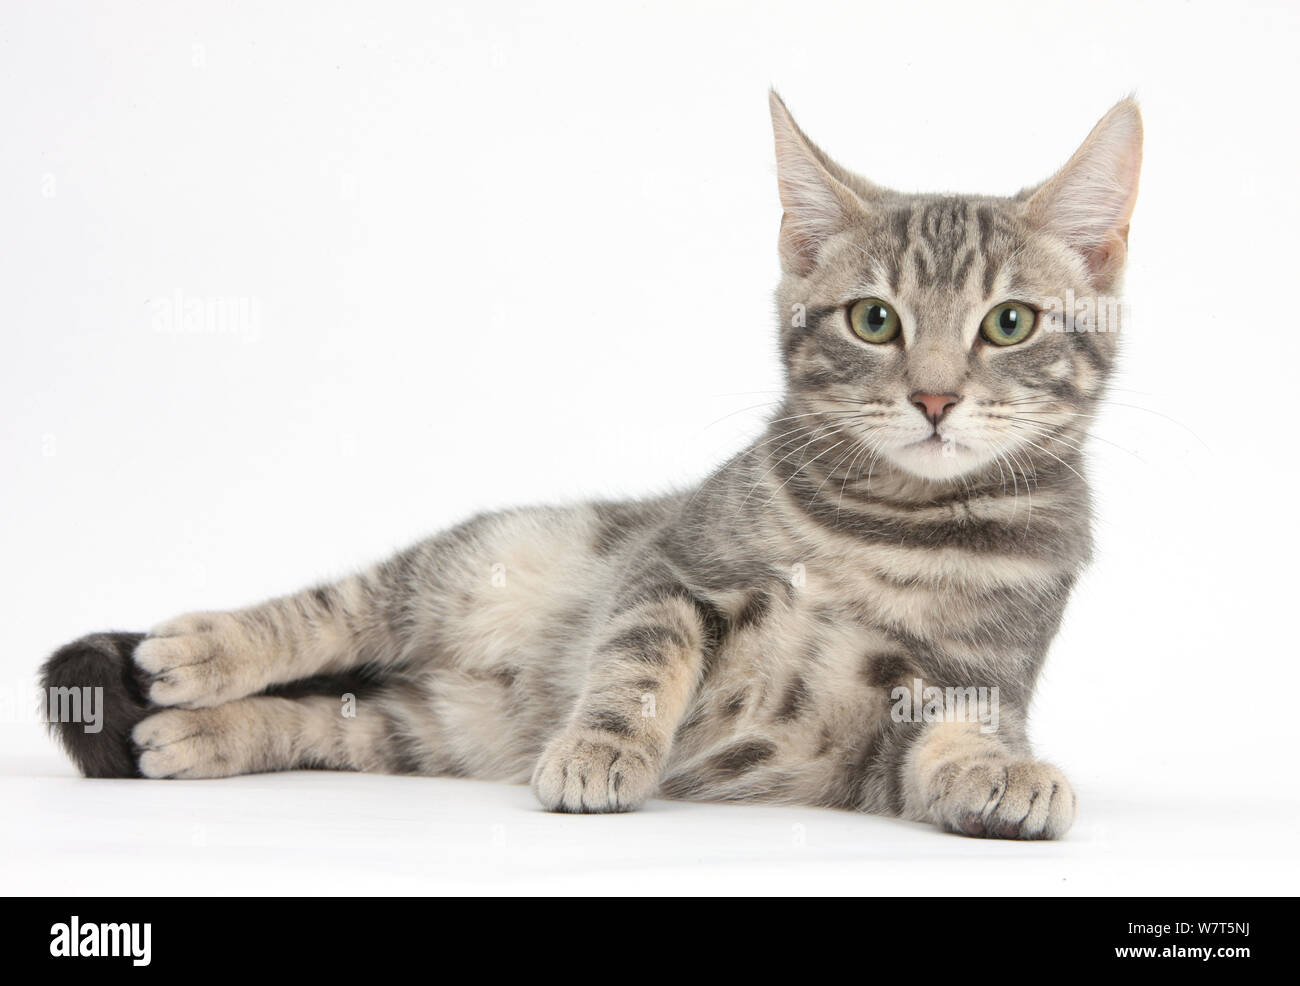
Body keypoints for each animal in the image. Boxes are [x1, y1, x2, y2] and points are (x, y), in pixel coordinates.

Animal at [40, 94, 1138, 842]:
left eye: (1009, 323)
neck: (892, 523)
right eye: (874, 320)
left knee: (339, 715)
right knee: (333, 609)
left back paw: (204, 736)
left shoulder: (953, 688)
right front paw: (603, 746)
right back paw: (203, 651)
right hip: (470, 563)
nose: (936, 397)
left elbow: (956, 738)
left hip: (431, 726)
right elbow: (638, 664)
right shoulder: (675, 567)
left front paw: (1004, 774)